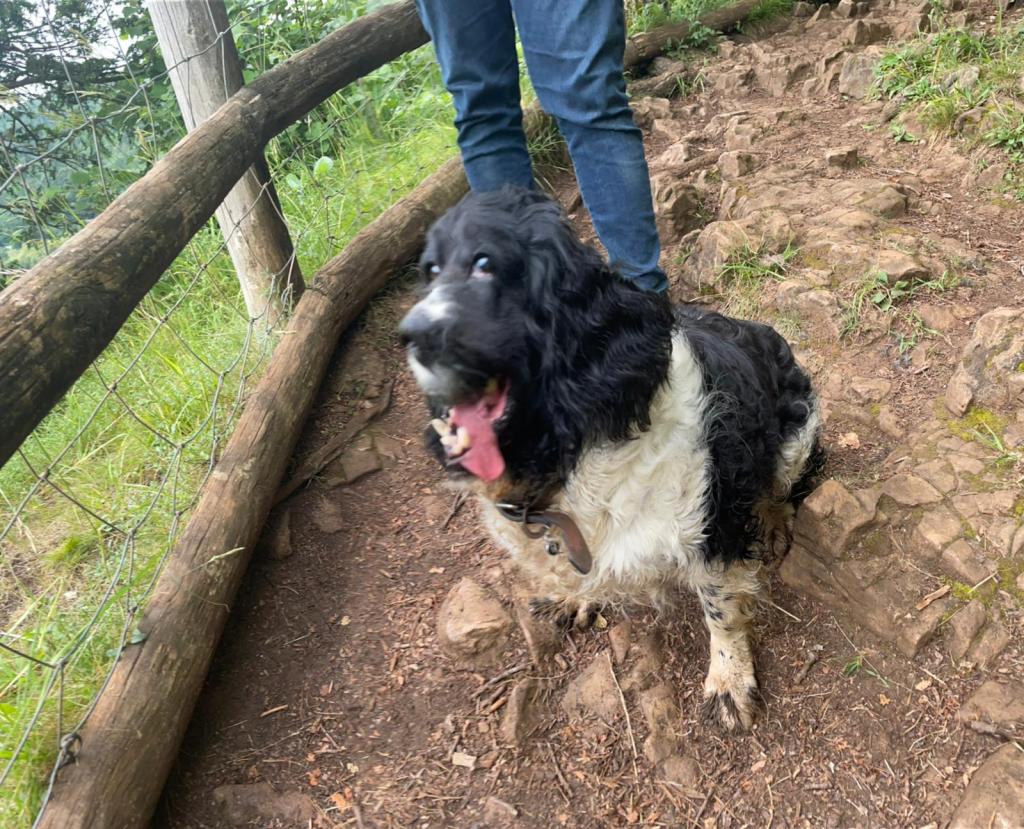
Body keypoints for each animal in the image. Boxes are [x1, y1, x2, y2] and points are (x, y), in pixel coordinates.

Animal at [398, 188, 823, 731]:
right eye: (429, 271)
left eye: (485, 263)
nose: (410, 335)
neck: (572, 442)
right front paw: (575, 597)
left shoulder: (713, 526)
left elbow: (721, 609)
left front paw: (729, 681)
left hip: (796, 432)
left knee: (783, 485)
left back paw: (772, 519)